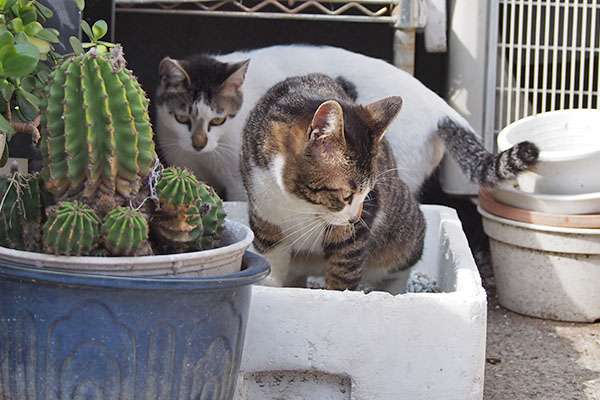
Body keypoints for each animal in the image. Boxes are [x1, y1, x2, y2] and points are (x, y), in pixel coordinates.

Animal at [240, 73, 426, 290]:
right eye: (347, 195)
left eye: (368, 192)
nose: (354, 218)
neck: (298, 201)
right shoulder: (264, 217)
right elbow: (270, 269)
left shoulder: (355, 231)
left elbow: (344, 271)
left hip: (403, 231)